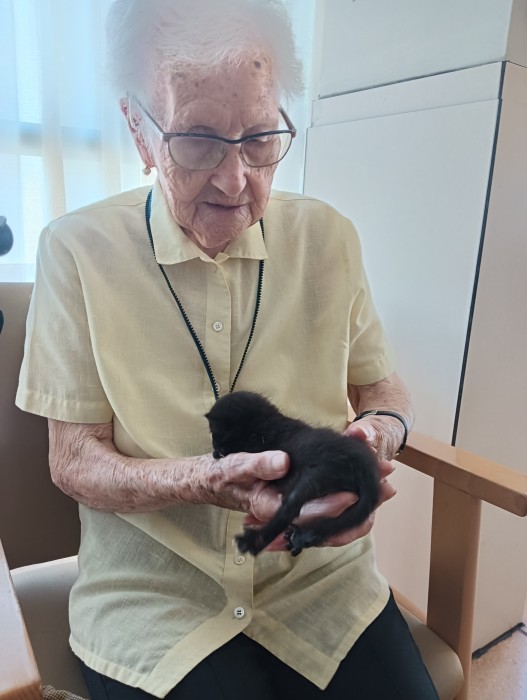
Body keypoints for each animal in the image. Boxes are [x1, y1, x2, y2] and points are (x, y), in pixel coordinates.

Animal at [205, 391, 380, 556]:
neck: (266, 422)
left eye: (215, 433)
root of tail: (367, 469)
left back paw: (253, 541)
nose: (214, 444)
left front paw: (220, 452)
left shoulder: (258, 444)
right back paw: (299, 537)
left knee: (291, 507)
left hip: (321, 473)